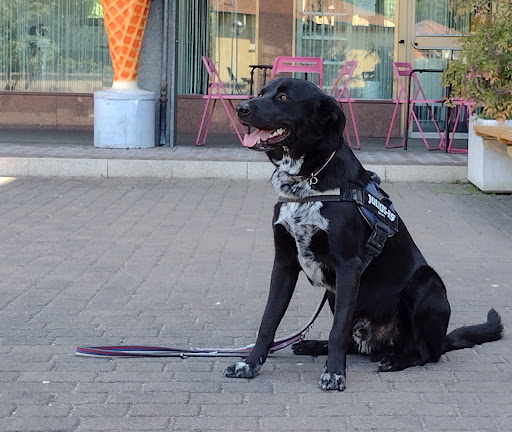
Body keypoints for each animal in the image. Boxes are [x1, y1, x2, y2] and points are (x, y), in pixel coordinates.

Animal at [223, 77, 500, 392]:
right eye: (261, 92)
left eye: (283, 97)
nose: (241, 108)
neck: (309, 178)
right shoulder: (284, 262)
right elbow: (268, 321)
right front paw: (249, 364)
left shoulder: (348, 266)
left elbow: (338, 330)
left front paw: (334, 373)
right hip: (336, 295)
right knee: (356, 344)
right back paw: (311, 345)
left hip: (425, 284)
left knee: (426, 353)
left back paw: (395, 359)